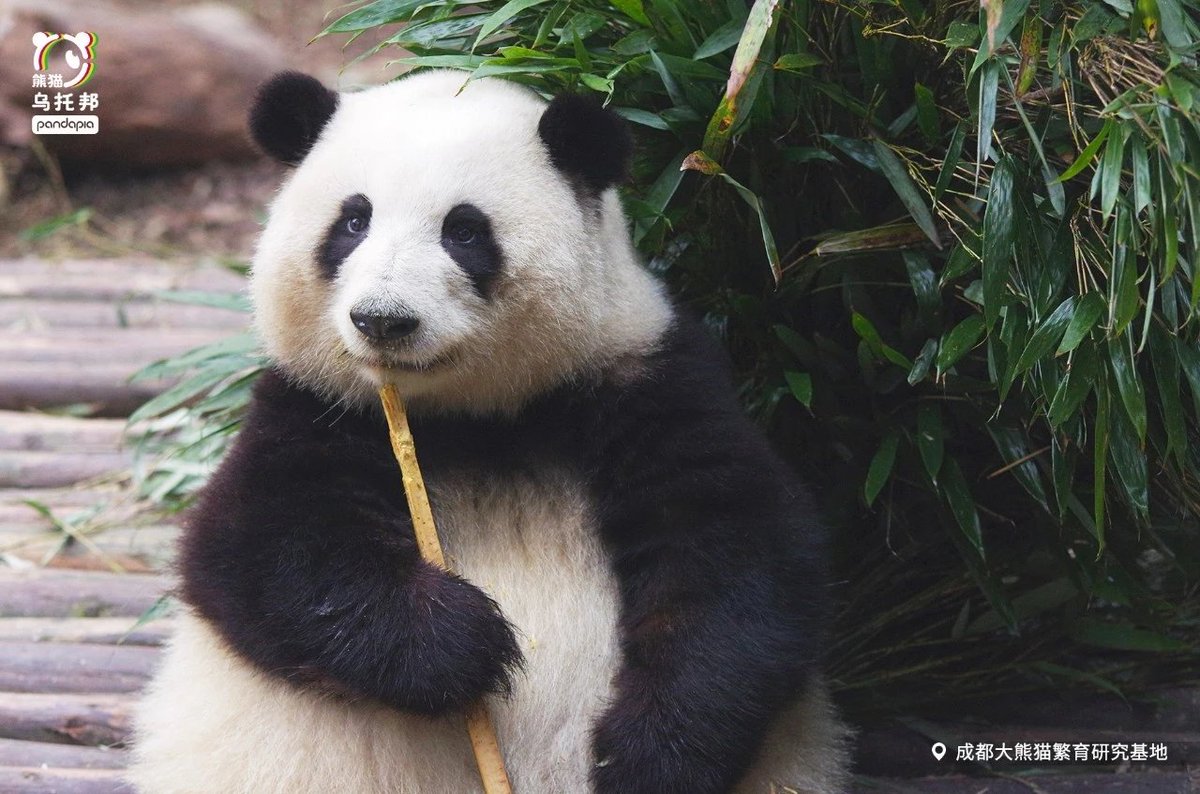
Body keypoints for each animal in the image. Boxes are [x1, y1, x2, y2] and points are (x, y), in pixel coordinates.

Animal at [128, 70, 850, 794]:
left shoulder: (643, 381)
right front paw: (462, 644)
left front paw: (648, 756)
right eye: (353, 221)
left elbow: (734, 557)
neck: (477, 417)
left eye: (464, 231)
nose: (383, 319)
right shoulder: (317, 407)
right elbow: (261, 550)